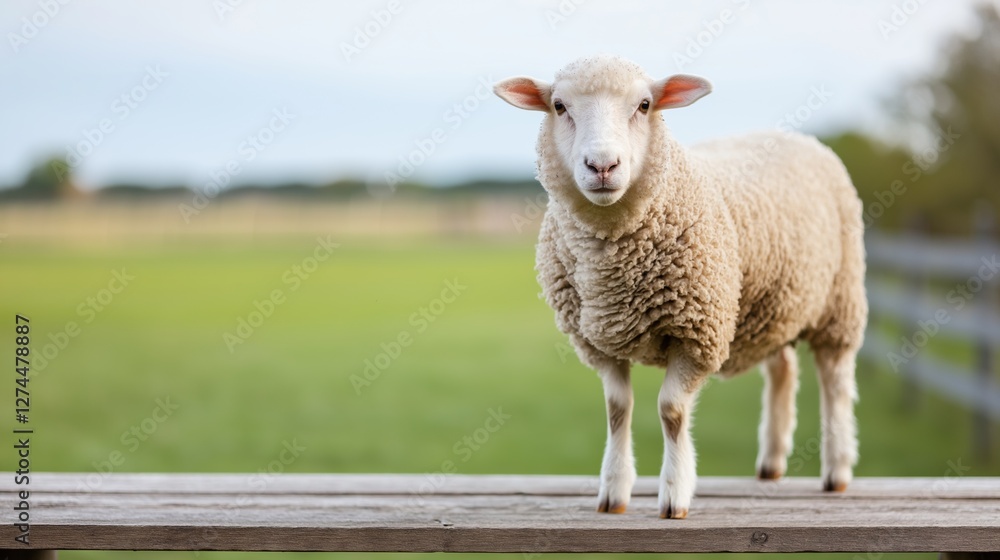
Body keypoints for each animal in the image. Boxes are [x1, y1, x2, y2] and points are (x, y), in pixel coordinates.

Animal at [493, 55, 867, 519]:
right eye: (559, 106)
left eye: (645, 105)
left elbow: (671, 411)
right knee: (783, 368)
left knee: (835, 381)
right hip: (774, 302)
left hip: (839, 300)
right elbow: (617, 410)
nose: (602, 166)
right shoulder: (599, 342)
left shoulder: (697, 333)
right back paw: (771, 462)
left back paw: (837, 468)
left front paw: (674, 495)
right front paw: (613, 491)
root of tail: (794, 136)